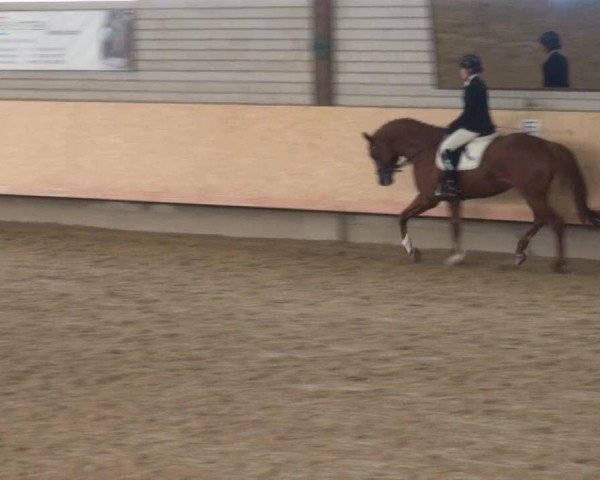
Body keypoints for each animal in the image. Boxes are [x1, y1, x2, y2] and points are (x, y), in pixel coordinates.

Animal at [360, 118, 600, 272]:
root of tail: (547, 146)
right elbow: (455, 225)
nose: (383, 181)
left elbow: (402, 217)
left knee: (555, 221)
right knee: (541, 218)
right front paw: (457, 256)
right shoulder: (453, 199)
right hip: (535, 193)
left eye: (374, 152)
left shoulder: (428, 198)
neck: (424, 149)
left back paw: (558, 264)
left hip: (532, 192)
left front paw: (412, 251)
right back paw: (519, 253)